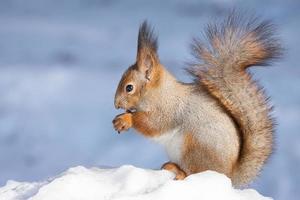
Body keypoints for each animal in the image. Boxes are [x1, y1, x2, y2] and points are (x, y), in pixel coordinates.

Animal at [112, 13, 282, 187]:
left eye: (129, 88)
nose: (116, 104)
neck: (159, 91)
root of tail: (228, 175)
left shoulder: (168, 109)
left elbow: (153, 124)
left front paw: (126, 119)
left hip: (195, 147)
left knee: (192, 172)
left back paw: (177, 170)